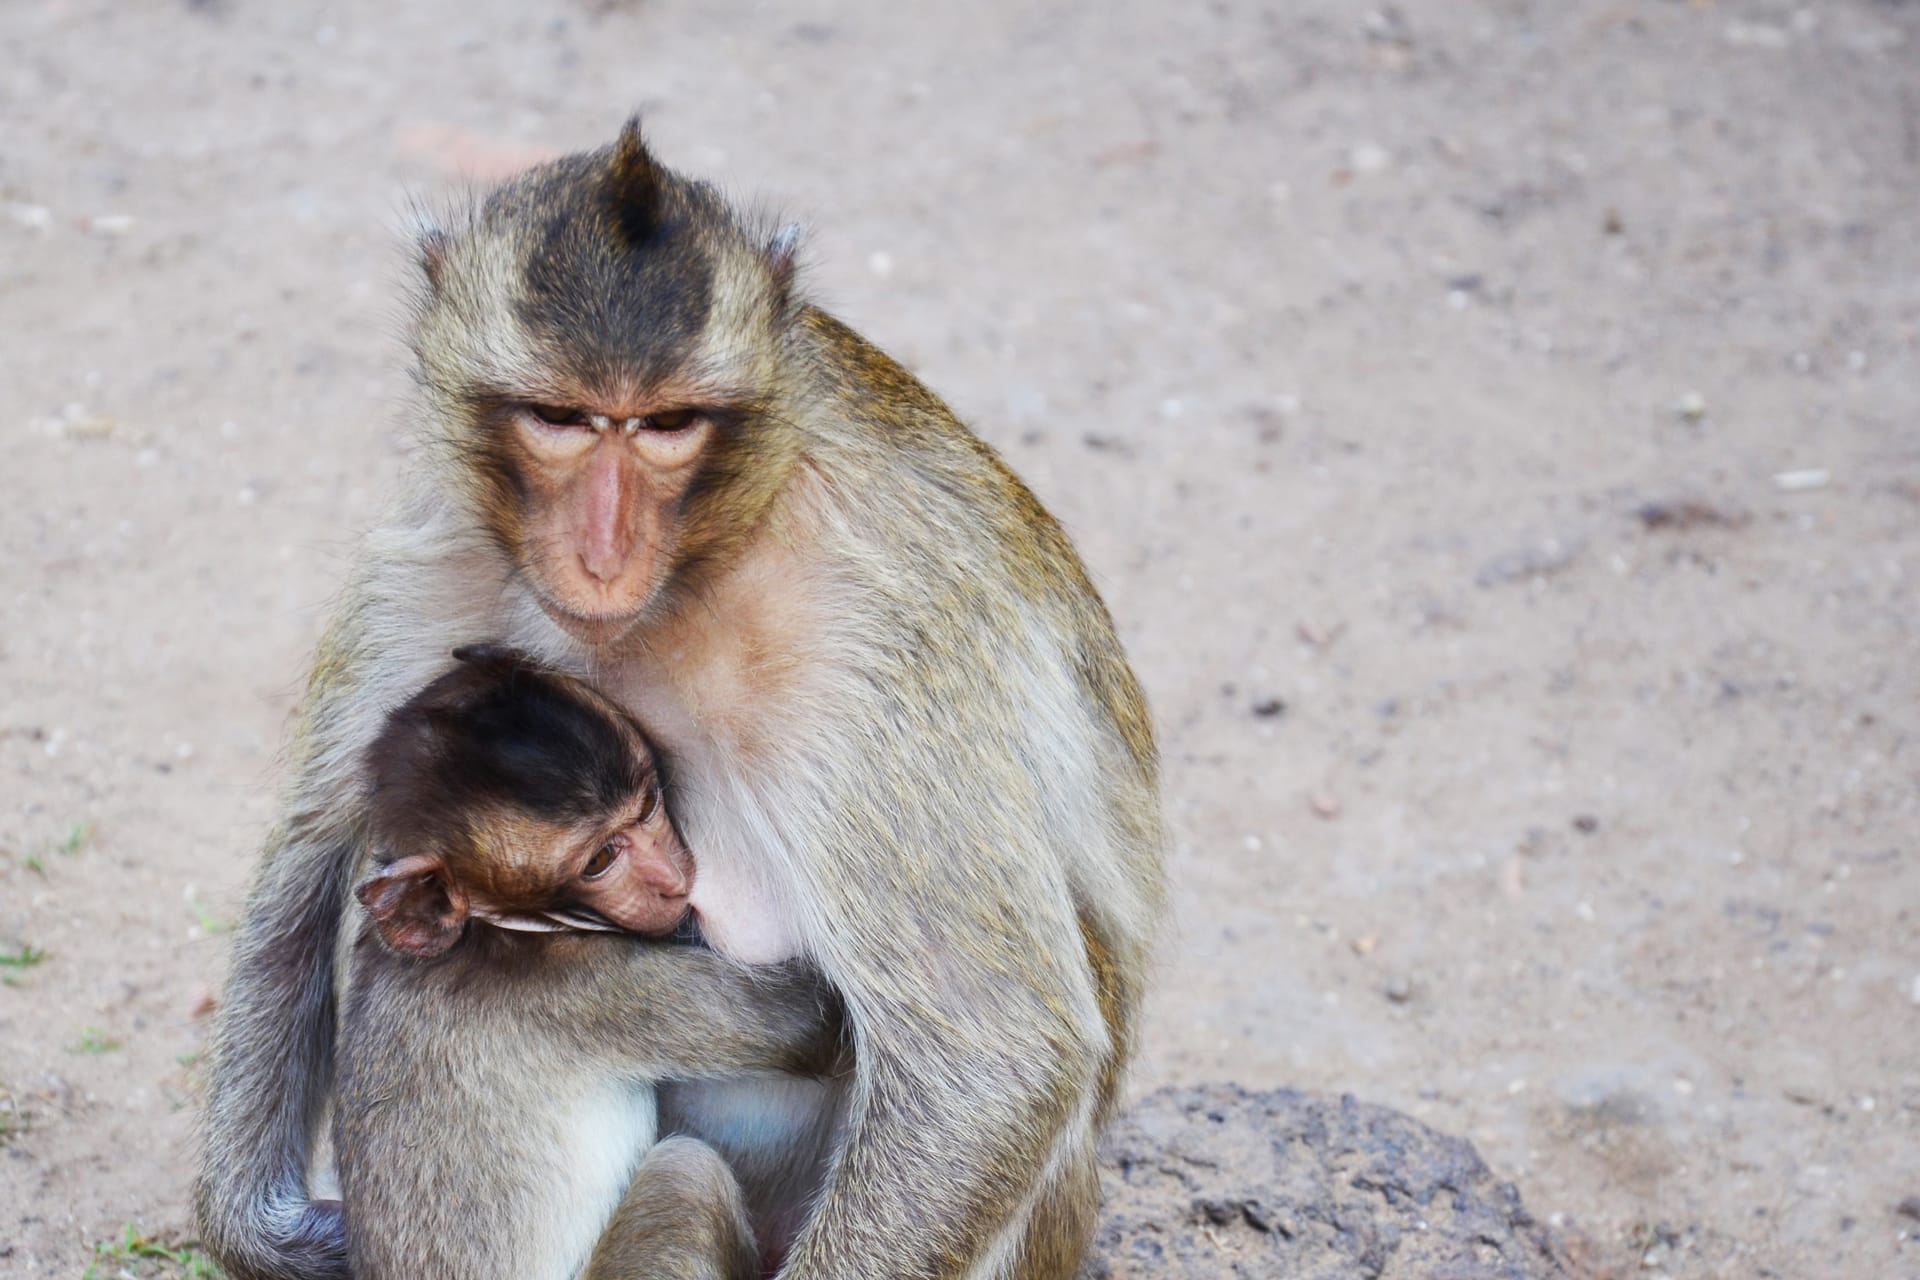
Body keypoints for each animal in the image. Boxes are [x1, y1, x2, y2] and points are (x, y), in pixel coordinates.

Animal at [337, 652, 833, 1280]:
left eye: (648, 806)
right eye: (600, 859)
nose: (671, 880)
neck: (489, 930)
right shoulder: (583, 986)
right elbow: (809, 1022)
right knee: (685, 1175)